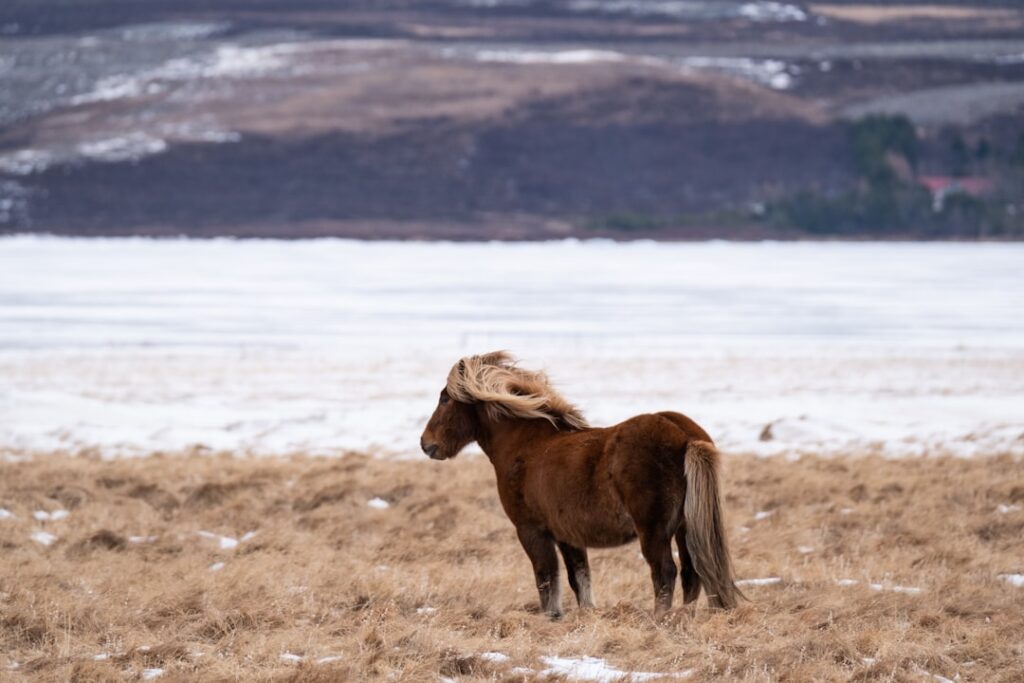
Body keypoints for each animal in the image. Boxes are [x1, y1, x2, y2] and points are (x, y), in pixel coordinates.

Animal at [419, 351, 742, 619]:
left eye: (445, 398)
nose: (426, 444)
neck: (526, 445)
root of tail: (684, 435)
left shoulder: (532, 530)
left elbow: (546, 578)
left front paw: (552, 617)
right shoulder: (568, 535)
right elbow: (580, 578)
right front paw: (587, 615)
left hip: (654, 530)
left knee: (665, 572)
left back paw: (660, 618)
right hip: (684, 528)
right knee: (692, 573)